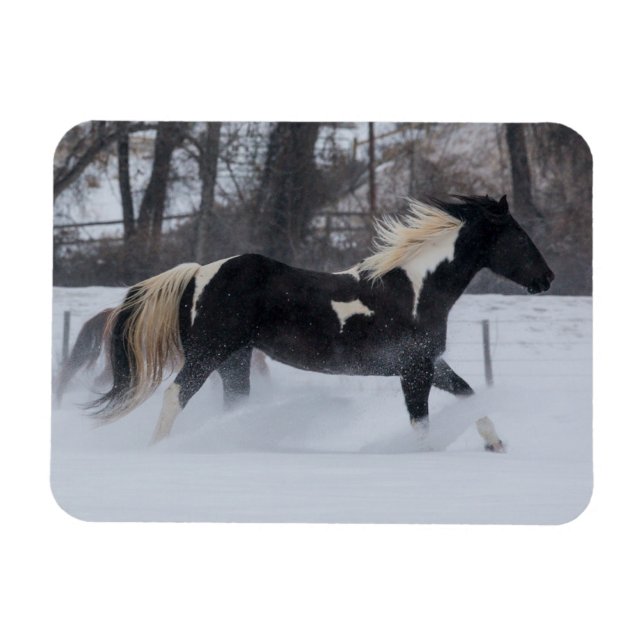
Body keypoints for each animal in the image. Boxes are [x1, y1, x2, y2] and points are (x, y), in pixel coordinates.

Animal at [91, 194, 554, 448]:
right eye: (519, 237)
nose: (547, 278)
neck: (414, 290)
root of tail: (199, 273)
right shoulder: (414, 369)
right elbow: (421, 423)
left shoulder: (429, 364)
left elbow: (470, 395)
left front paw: (496, 444)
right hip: (209, 353)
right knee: (175, 395)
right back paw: (159, 449)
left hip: (235, 359)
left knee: (232, 403)